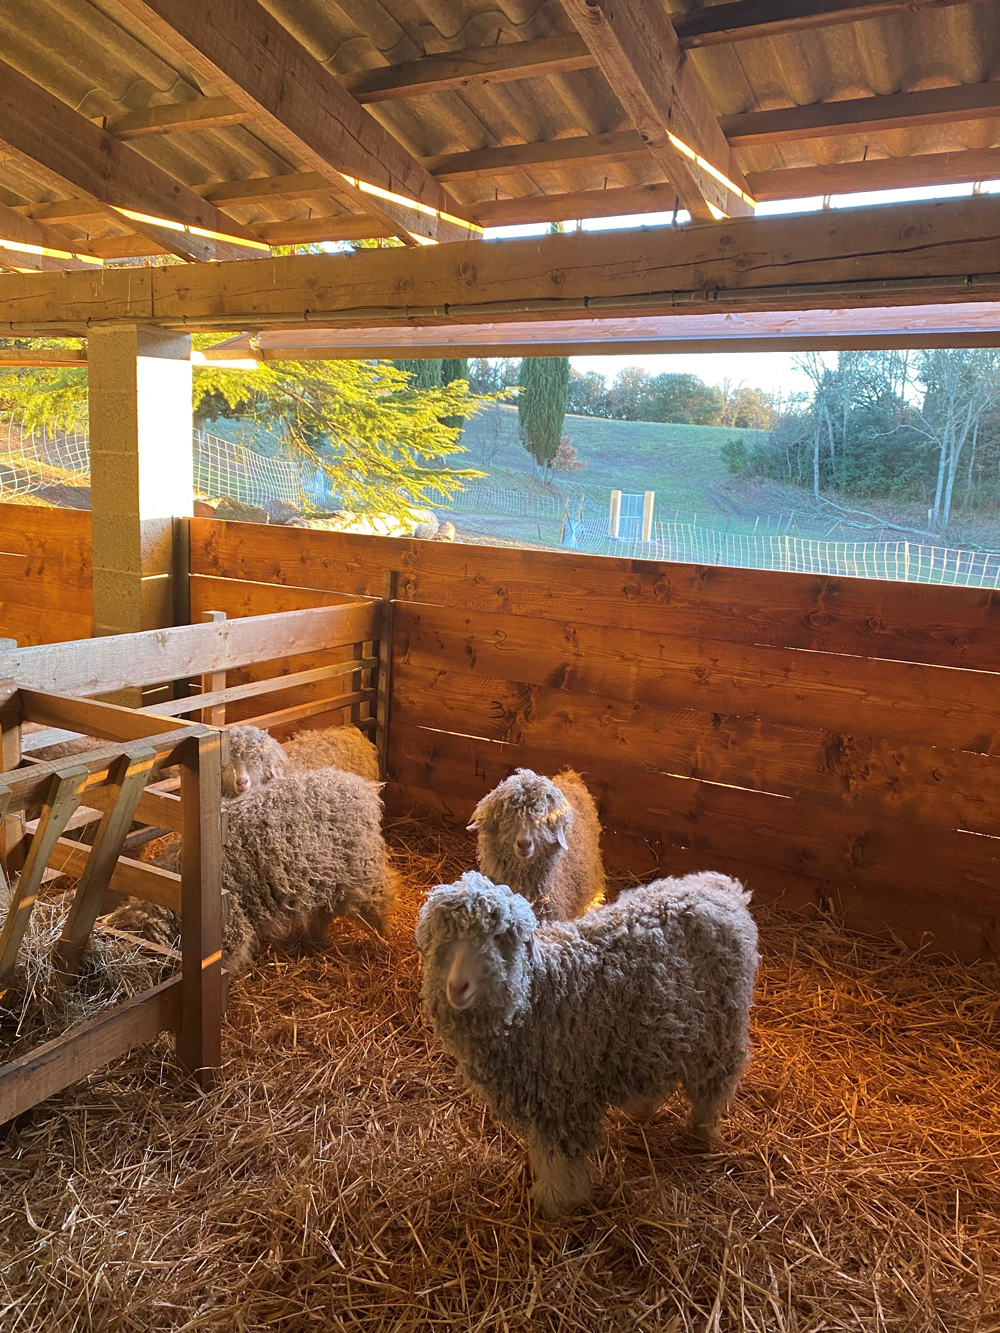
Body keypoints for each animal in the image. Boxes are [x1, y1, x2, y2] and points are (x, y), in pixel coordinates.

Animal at [108, 767, 394, 975]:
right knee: (324, 911)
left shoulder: (229, 929)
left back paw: (385, 941)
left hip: (360, 869)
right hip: (324, 876)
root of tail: (361, 786)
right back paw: (314, 942)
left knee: (377, 902)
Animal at [416, 863, 757, 1221]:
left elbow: (559, 1157)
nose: (458, 988)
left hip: (722, 1027)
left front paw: (557, 1201)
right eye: (446, 936)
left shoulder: (562, 1096)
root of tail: (722, 887)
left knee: (716, 1083)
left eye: (498, 938)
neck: (541, 994)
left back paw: (701, 1132)